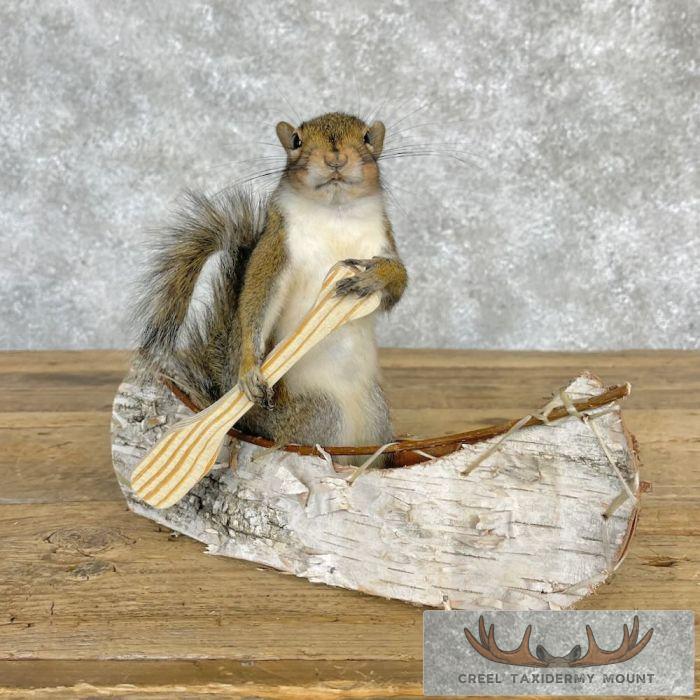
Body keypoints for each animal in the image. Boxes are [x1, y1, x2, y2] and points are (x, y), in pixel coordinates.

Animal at [134, 112, 407, 464]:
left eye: (367, 139)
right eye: (296, 141)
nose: (335, 159)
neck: (335, 213)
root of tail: (250, 424)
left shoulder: (383, 240)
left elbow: (397, 285)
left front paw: (372, 277)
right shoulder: (276, 248)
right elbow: (258, 298)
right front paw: (250, 369)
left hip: (376, 414)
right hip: (321, 411)